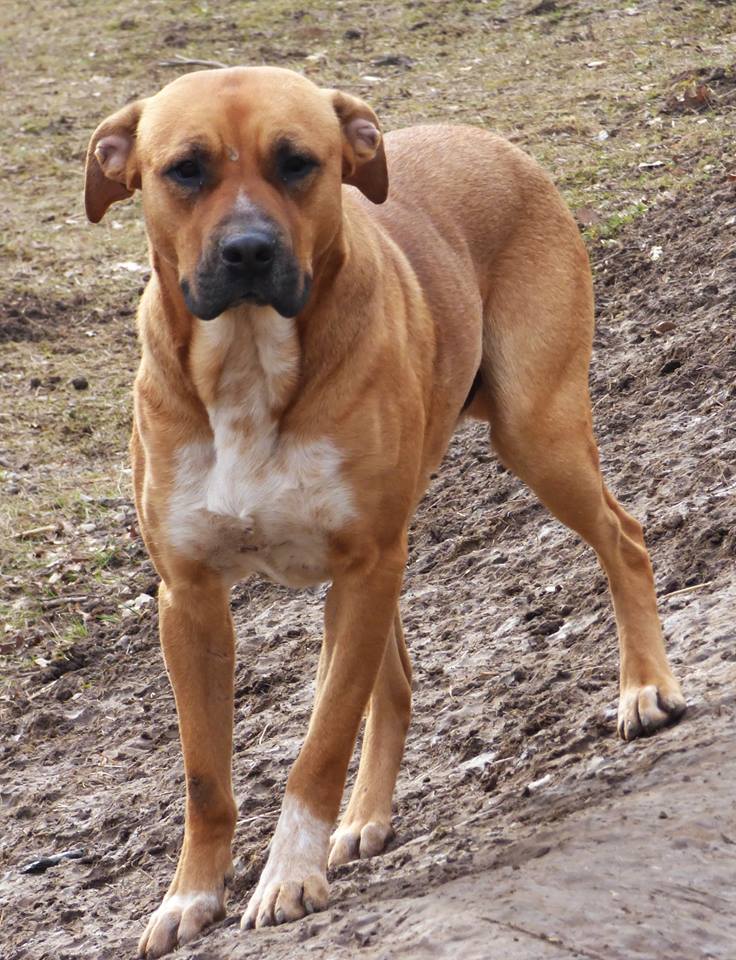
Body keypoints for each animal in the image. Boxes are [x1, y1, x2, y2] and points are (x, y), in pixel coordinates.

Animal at [83, 65, 688, 952]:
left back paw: (644, 688)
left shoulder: (365, 563)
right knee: (393, 679)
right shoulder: (190, 596)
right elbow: (204, 776)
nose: (249, 250)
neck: (250, 362)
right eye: (184, 169)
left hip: (536, 435)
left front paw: (289, 877)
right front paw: (188, 897)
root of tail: (488, 139)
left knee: (625, 536)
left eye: (297, 162)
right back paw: (365, 818)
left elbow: (322, 744)